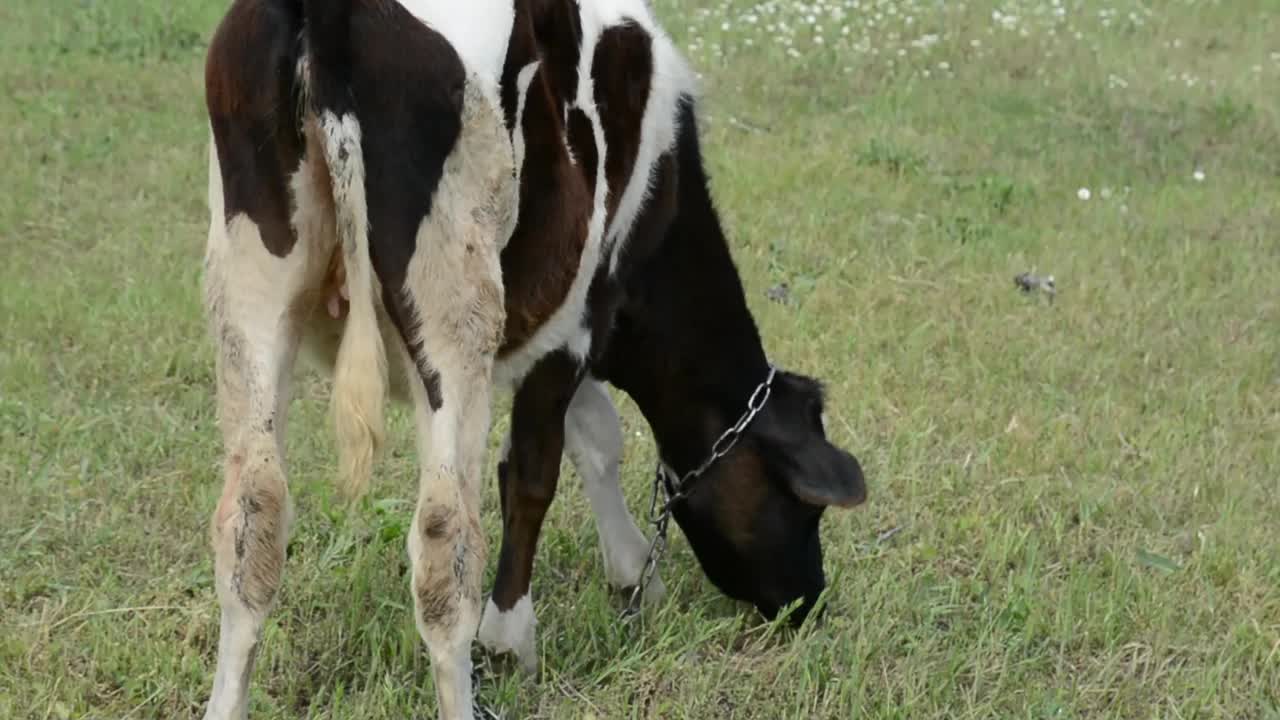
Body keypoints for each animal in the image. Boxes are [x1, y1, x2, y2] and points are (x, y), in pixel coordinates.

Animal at [199, 1, 865, 717]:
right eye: (806, 507)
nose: (808, 599)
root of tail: (329, 12)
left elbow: (587, 435)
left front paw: (632, 571)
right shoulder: (577, 318)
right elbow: (546, 466)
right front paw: (514, 634)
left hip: (252, 293)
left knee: (253, 520)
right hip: (456, 312)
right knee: (444, 542)